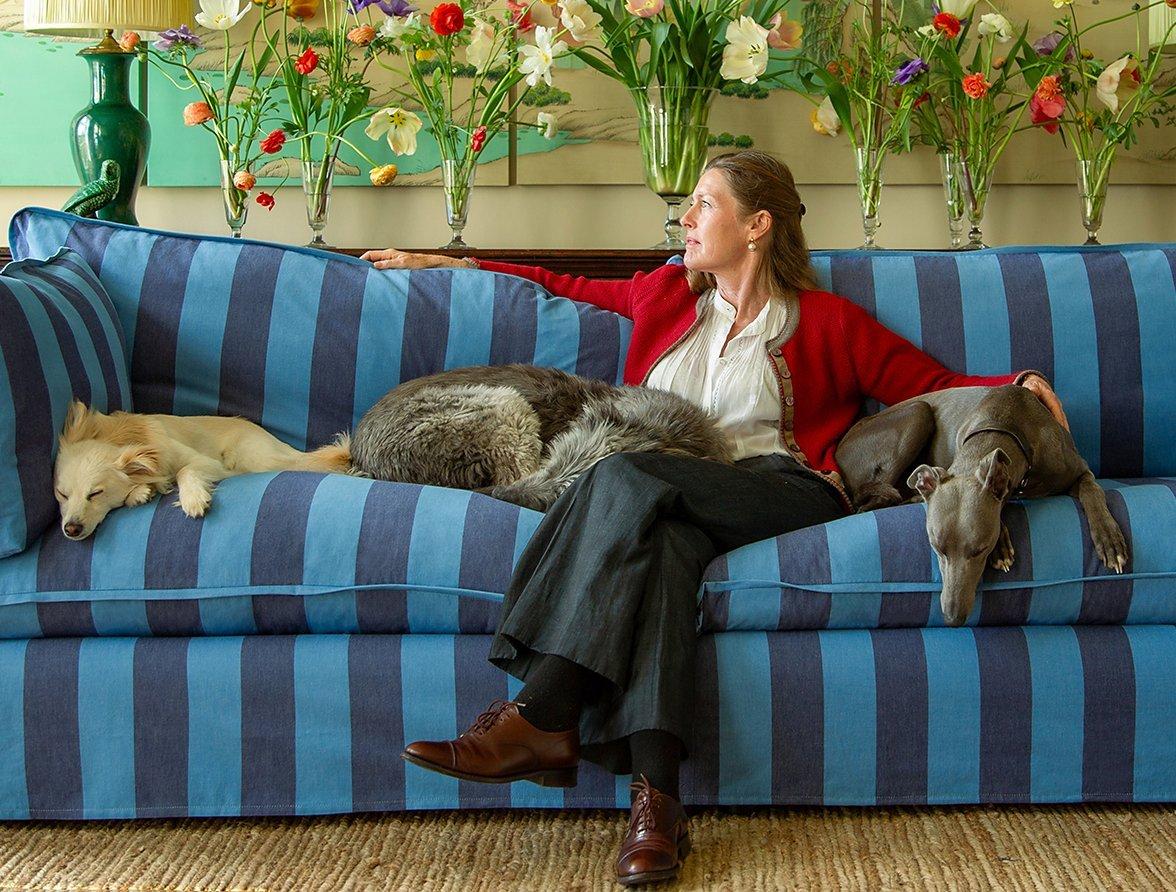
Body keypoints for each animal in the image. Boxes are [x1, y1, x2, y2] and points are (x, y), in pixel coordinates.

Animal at [55, 401, 348, 540]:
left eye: (95, 493)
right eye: (61, 495)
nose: (70, 529)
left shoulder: (206, 463)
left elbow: (184, 472)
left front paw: (193, 499)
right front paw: (140, 492)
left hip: (254, 458)